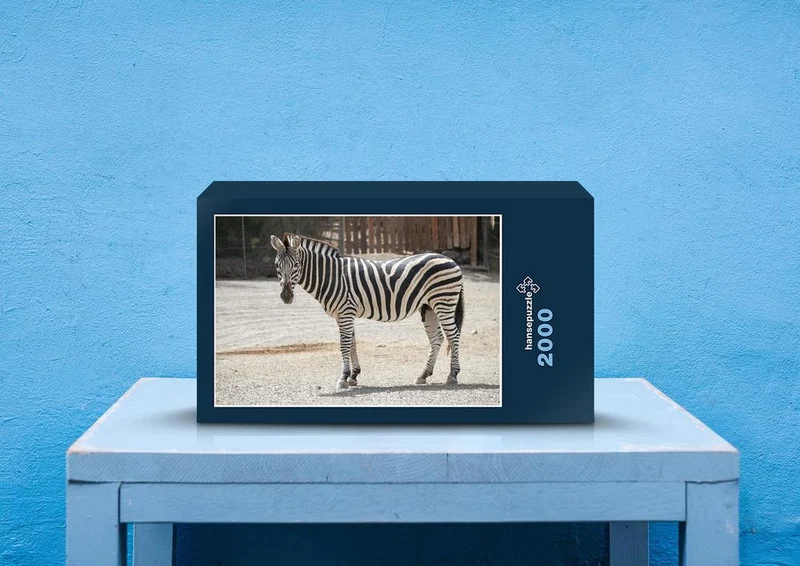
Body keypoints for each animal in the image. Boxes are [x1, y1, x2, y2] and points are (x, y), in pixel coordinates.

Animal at [270, 233, 465, 390]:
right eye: (277, 265)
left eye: (296, 264)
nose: (286, 296)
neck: (332, 276)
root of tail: (451, 260)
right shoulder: (344, 315)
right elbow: (352, 344)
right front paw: (353, 375)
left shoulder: (346, 313)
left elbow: (344, 345)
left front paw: (343, 378)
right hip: (428, 307)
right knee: (437, 338)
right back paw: (423, 375)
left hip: (443, 302)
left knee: (453, 335)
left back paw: (452, 375)